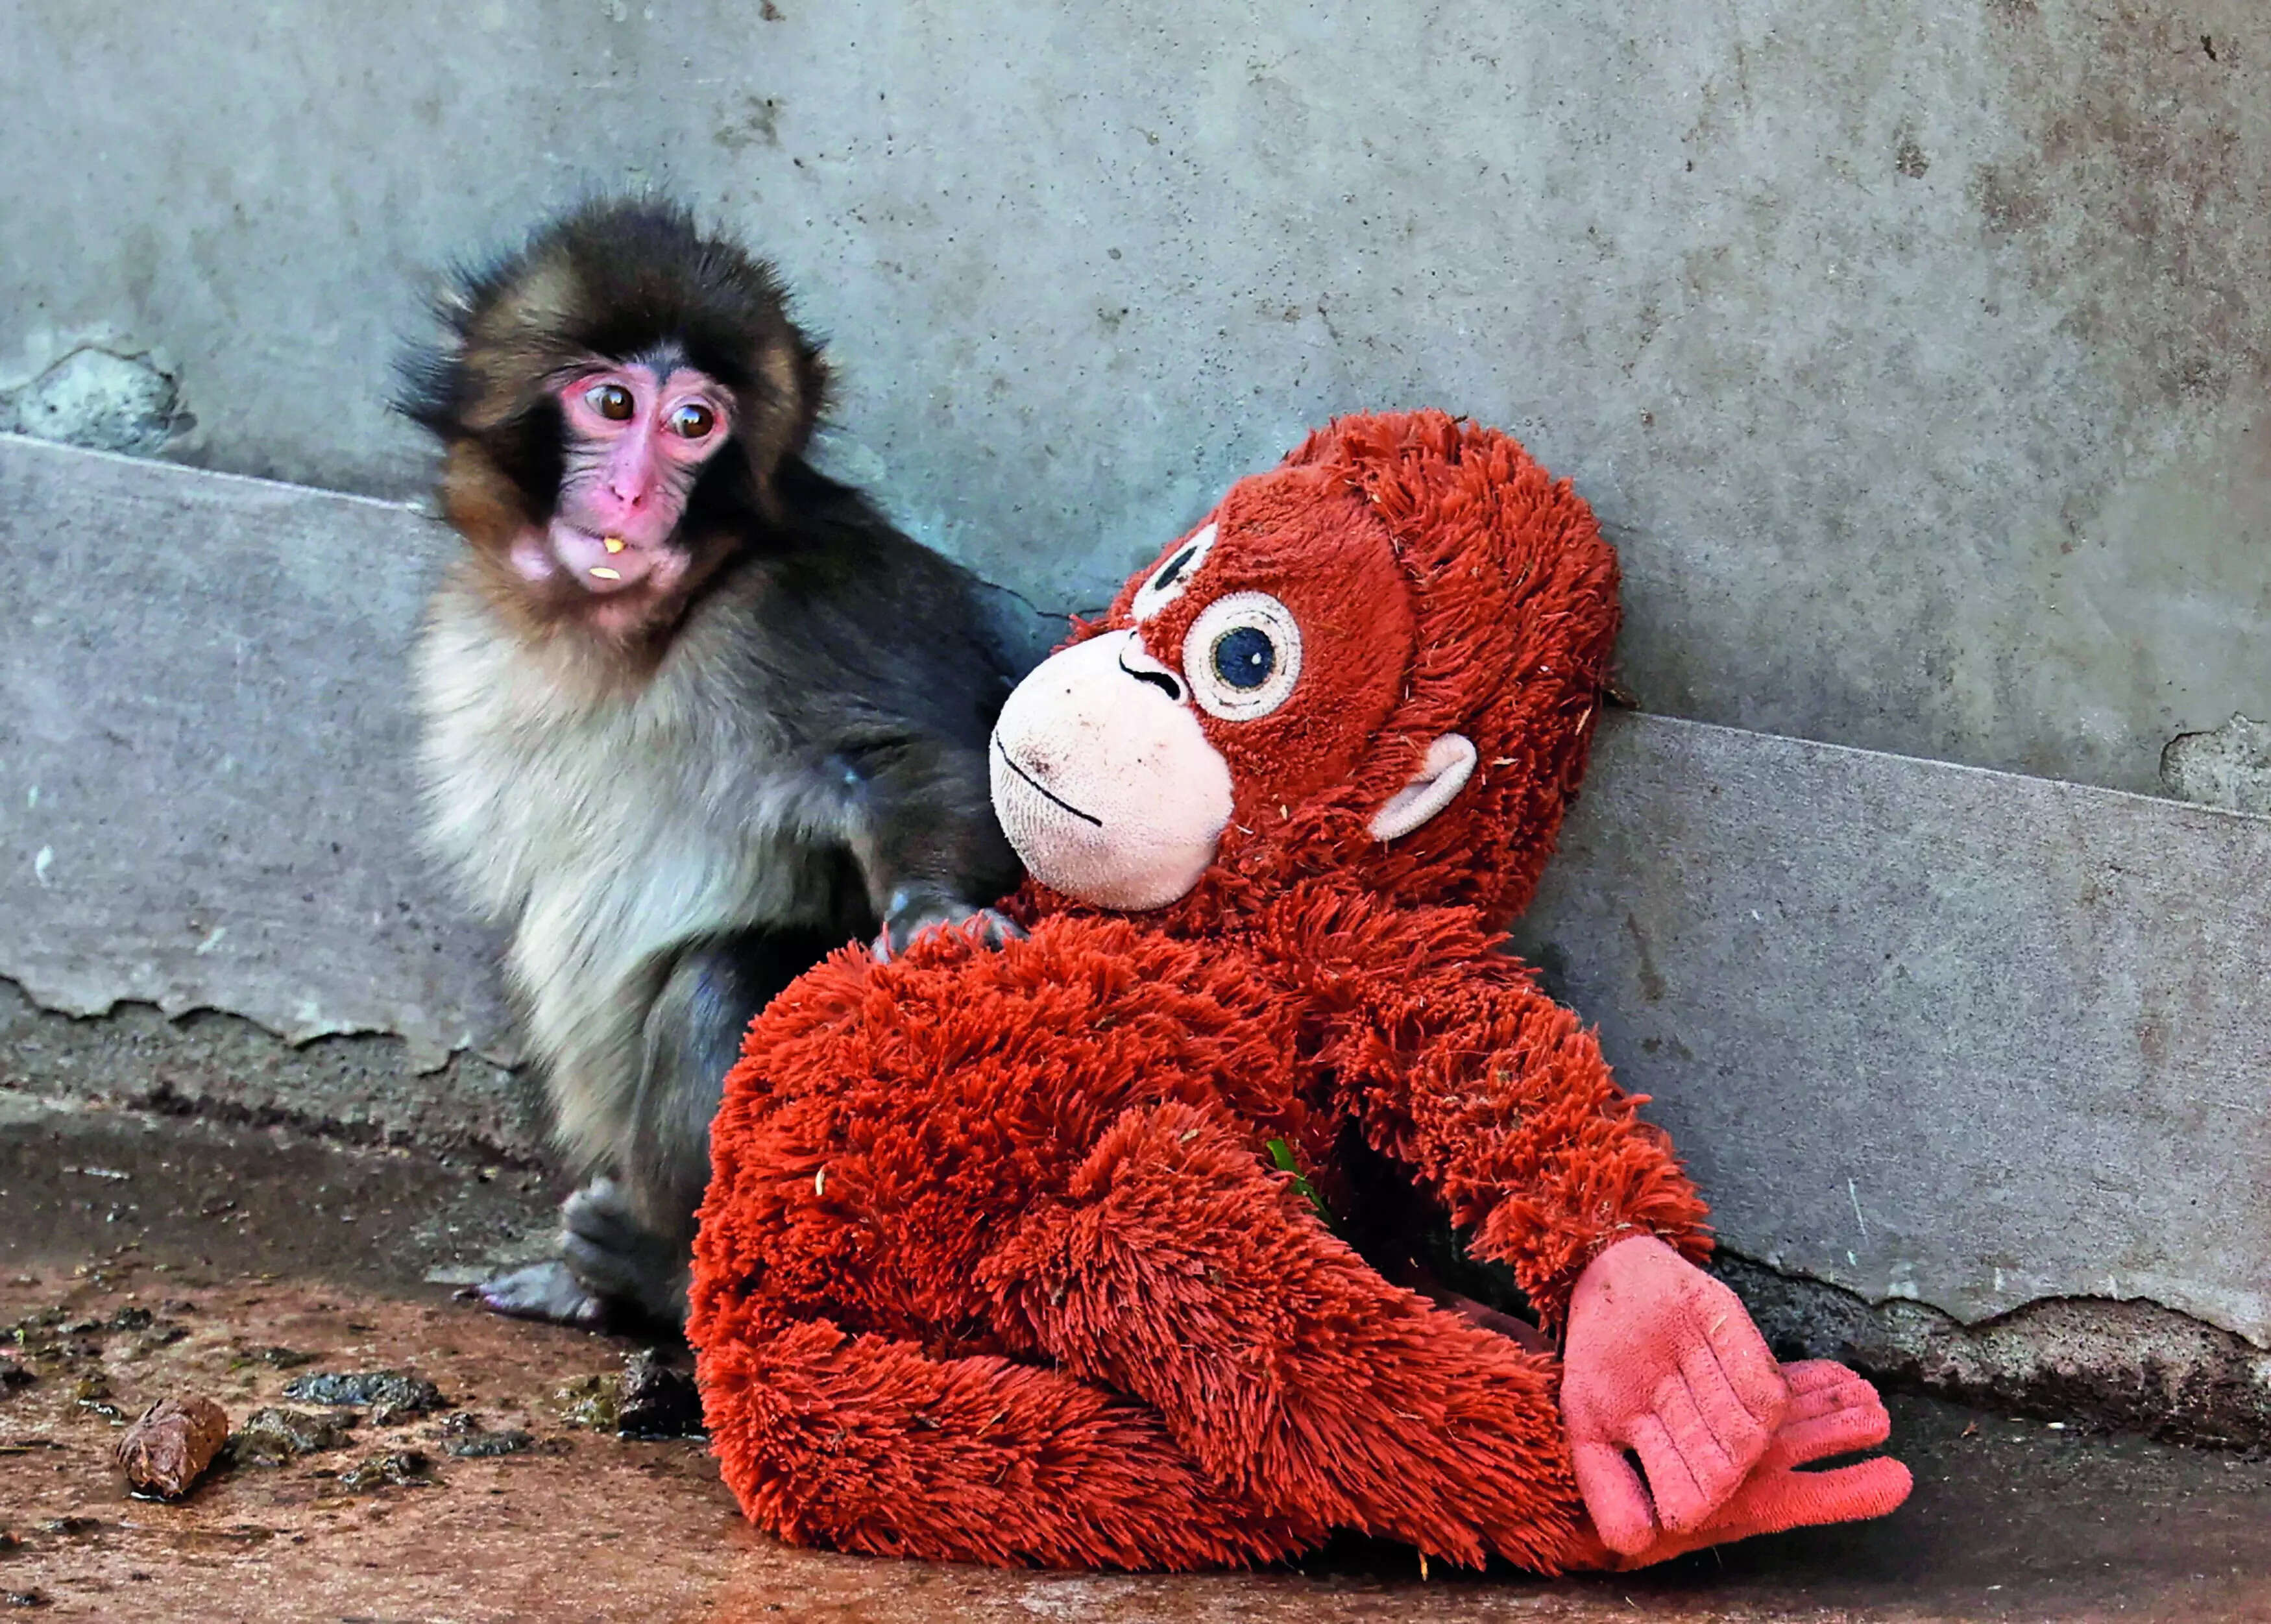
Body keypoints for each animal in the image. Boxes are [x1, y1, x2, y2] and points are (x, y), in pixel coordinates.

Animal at [398, 199, 1026, 1331]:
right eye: (612, 403)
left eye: (696, 423)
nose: (635, 490)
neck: (627, 630)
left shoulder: (808, 605)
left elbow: (905, 758)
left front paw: (936, 914)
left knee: (717, 985)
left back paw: (658, 1273)